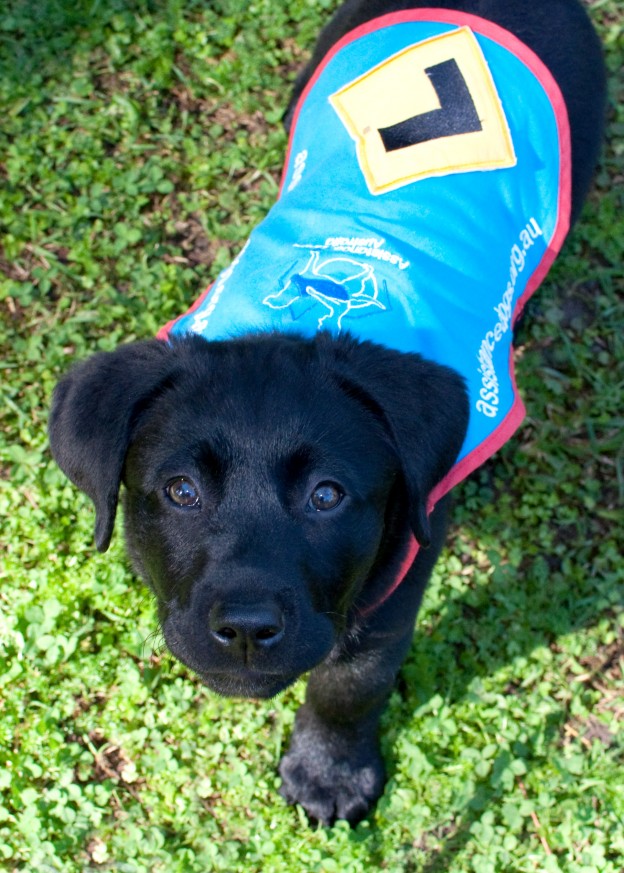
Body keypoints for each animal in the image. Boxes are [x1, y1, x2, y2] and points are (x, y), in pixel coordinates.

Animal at [48, 0, 604, 824]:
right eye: (180, 491)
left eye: (327, 496)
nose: (247, 628)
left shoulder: (401, 560)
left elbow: (354, 676)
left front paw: (330, 770)